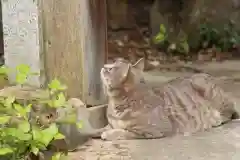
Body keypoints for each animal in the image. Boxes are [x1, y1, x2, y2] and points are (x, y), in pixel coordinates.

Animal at [99, 57, 238, 140]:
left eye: (110, 69)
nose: (103, 65)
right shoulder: (109, 124)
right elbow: (101, 129)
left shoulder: (154, 130)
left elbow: (126, 132)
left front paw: (109, 134)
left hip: (207, 89)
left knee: (229, 113)